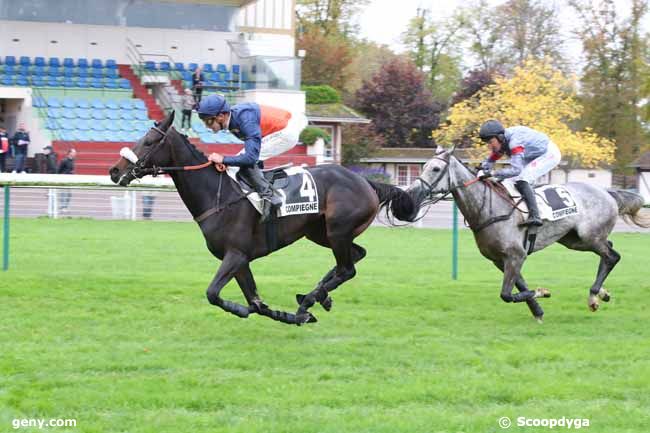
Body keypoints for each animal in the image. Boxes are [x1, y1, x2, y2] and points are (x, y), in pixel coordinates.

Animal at [109, 111, 416, 324]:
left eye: (149, 141)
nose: (114, 171)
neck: (218, 195)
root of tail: (367, 182)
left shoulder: (235, 254)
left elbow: (213, 293)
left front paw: (252, 311)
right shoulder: (240, 260)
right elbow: (256, 302)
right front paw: (286, 316)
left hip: (337, 230)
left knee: (347, 268)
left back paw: (311, 299)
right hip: (320, 233)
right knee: (356, 256)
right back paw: (316, 296)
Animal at [408, 148, 644, 320]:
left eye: (436, 169)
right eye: (425, 167)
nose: (414, 192)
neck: (489, 209)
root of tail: (606, 192)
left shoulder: (515, 255)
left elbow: (506, 294)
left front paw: (542, 292)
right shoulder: (500, 259)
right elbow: (518, 286)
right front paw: (538, 311)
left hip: (589, 236)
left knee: (612, 256)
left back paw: (594, 295)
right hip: (575, 240)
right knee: (609, 250)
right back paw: (602, 293)